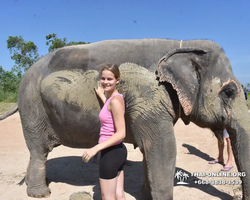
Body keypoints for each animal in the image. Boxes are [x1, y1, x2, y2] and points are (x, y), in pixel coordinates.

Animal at [0, 38, 250, 199]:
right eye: (229, 92)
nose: (237, 197)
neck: (183, 44)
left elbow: (150, 150)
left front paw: (144, 195)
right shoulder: (149, 98)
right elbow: (164, 149)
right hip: (32, 106)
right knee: (38, 150)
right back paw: (40, 193)